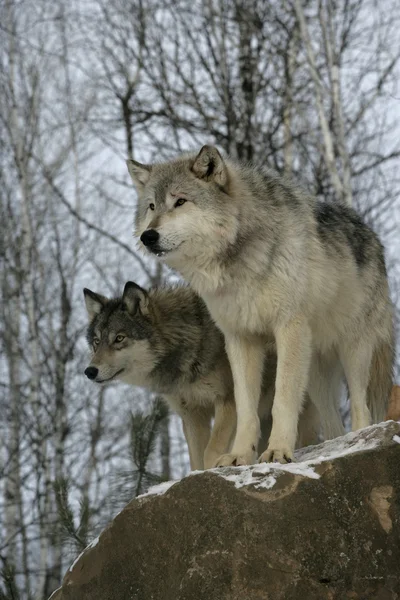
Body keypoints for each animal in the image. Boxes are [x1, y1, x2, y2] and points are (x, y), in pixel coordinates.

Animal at [84, 284, 340, 472]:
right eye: (96, 342)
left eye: (119, 338)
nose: (89, 371)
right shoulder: (192, 415)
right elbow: (196, 458)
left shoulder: (228, 401)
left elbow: (211, 450)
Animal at [127, 148, 394, 466]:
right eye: (152, 206)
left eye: (180, 201)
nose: (148, 236)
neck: (237, 260)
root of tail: (374, 237)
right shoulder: (240, 339)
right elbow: (246, 408)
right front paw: (239, 455)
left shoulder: (288, 327)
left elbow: (282, 400)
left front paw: (278, 450)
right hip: (315, 373)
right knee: (332, 423)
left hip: (353, 351)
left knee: (360, 407)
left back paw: (358, 440)